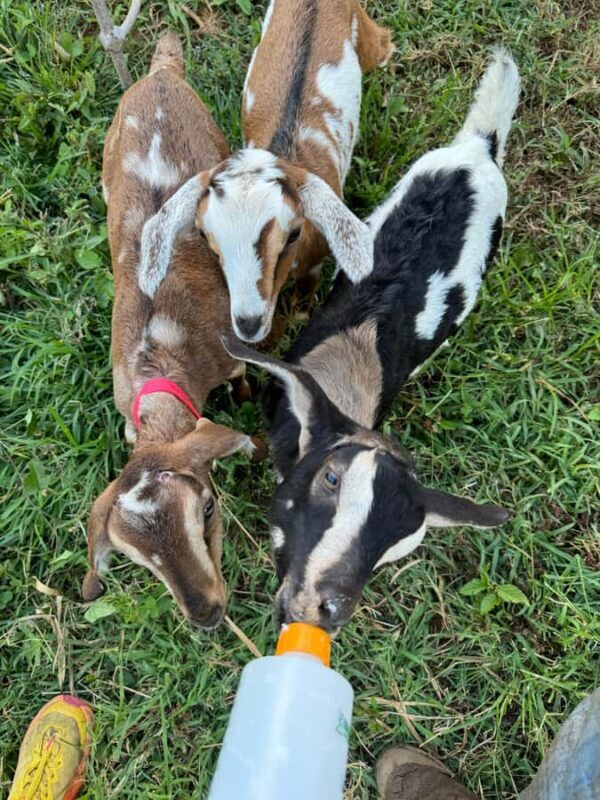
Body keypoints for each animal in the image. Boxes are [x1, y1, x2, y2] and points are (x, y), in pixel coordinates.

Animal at [83, 33, 255, 629]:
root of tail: (160, 73)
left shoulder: (231, 351)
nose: (207, 613)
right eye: (137, 561)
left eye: (208, 507)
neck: (158, 356)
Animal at [138, 0, 393, 343]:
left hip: (365, 34)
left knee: (383, 44)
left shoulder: (314, 261)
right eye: (204, 234)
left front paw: (298, 315)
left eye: (294, 233)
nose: (248, 323)